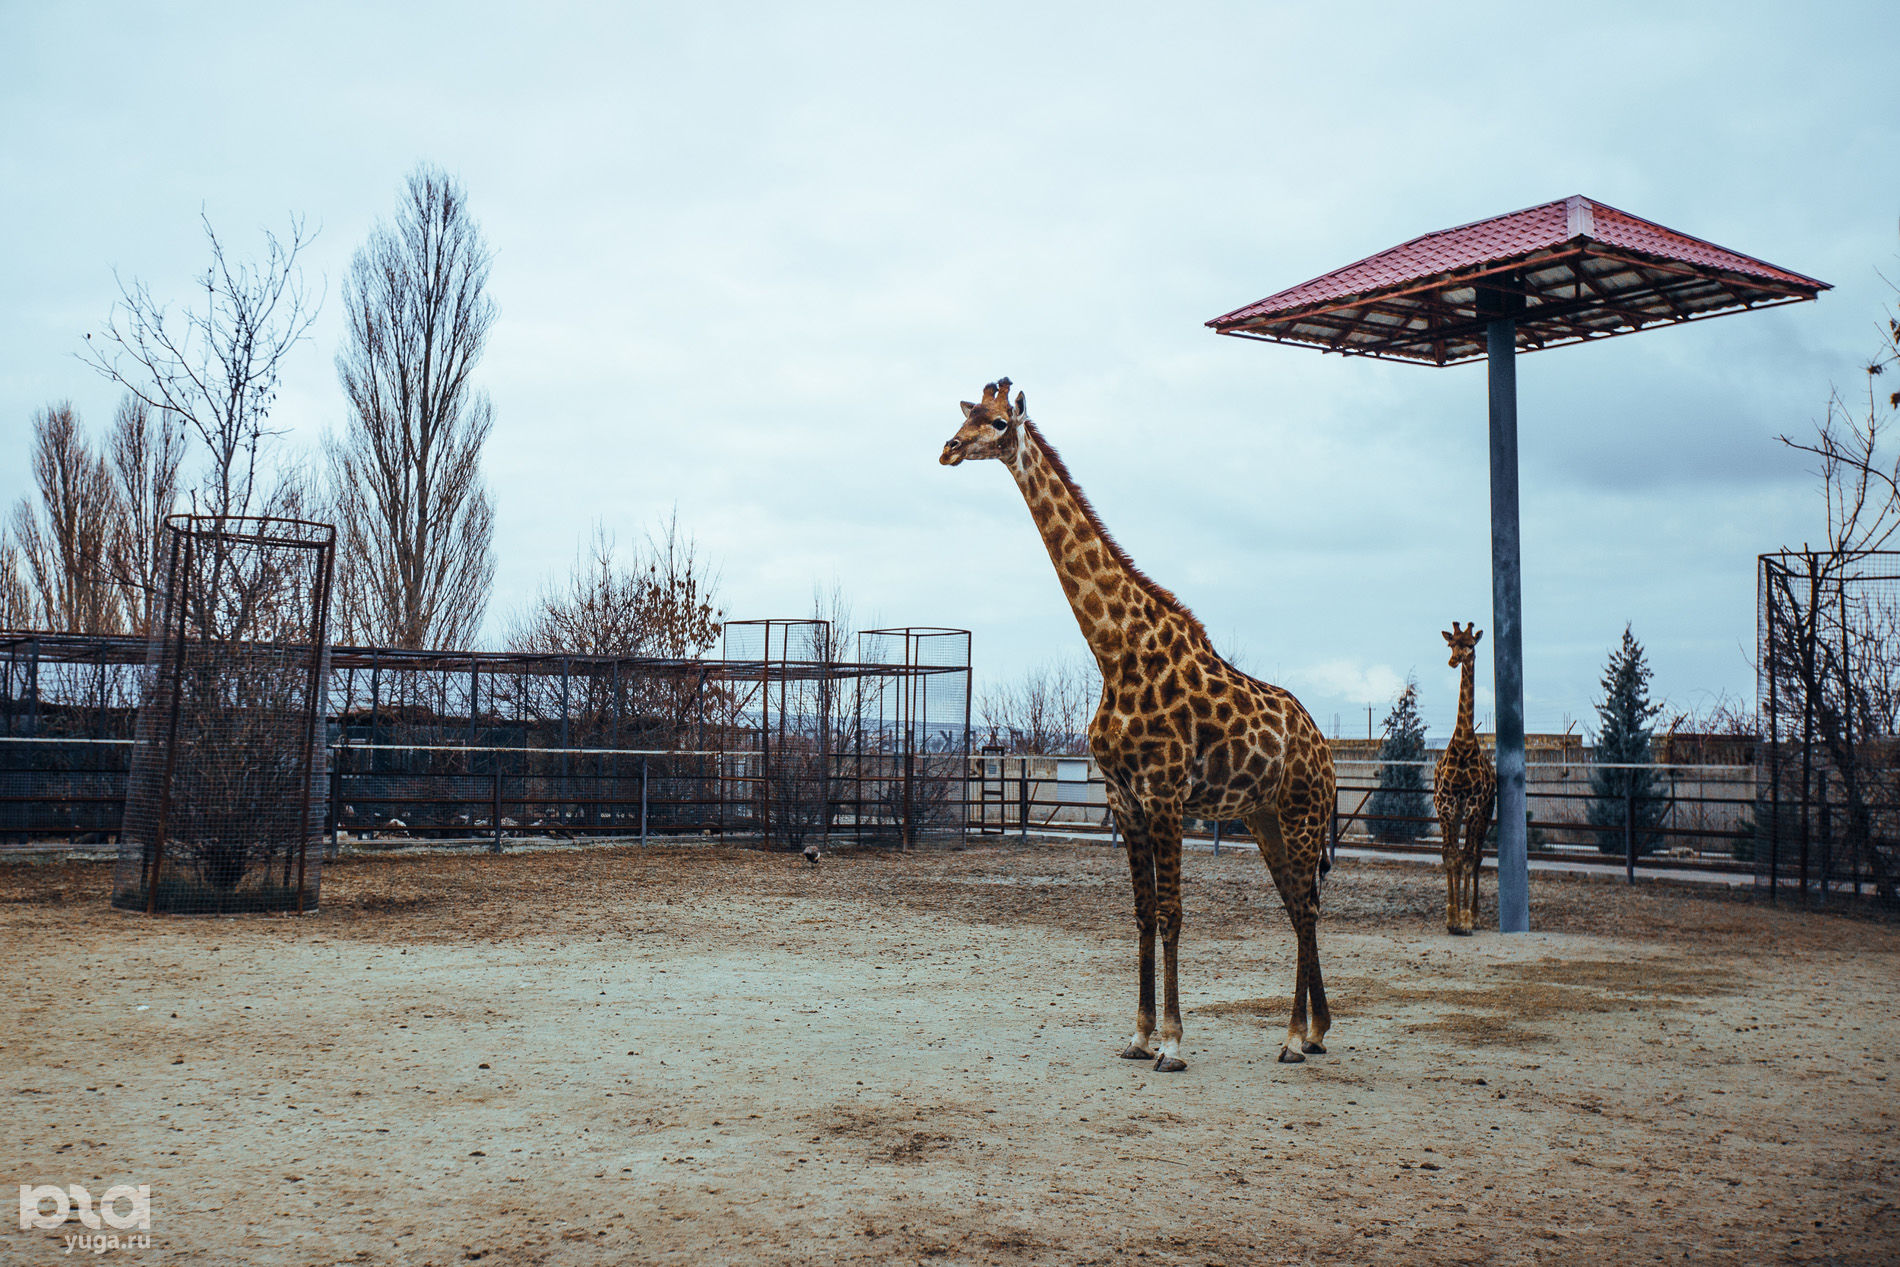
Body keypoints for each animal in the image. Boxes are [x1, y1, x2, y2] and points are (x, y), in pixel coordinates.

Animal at [938, 376, 1337, 1071]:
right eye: (968, 414)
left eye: (997, 422)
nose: (948, 449)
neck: (1115, 651)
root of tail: (1327, 750)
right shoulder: (1124, 797)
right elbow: (1144, 913)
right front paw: (1140, 1033)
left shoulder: (1166, 793)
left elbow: (1173, 911)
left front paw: (1173, 1043)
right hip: (1263, 816)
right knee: (1297, 903)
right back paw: (1312, 1032)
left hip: (1301, 811)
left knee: (1307, 904)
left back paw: (1294, 1037)